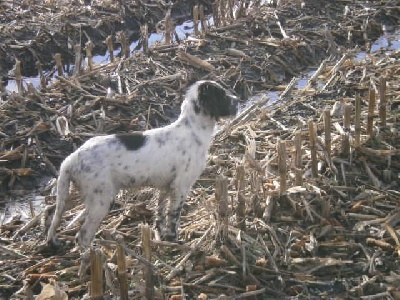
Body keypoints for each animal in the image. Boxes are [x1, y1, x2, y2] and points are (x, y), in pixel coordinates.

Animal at [46, 80, 238, 248]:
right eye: (222, 95)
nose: (237, 100)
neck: (192, 129)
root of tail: (72, 158)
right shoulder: (181, 186)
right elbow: (174, 217)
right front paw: (174, 239)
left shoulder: (166, 186)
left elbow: (160, 212)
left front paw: (160, 234)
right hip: (100, 200)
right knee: (83, 236)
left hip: (77, 194)